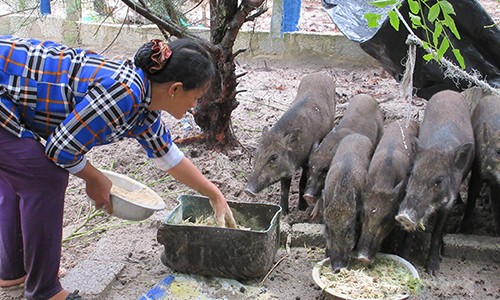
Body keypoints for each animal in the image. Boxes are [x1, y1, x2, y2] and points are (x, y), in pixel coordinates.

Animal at [245, 72, 336, 213]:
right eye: (256, 154)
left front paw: (302, 209)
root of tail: (321, 73)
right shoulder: (287, 170)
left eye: (274, 157)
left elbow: (302, 184)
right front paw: (284, 212)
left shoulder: (307, 162)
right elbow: (284, 190)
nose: (247, 190)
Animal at [394, 90, 472, 276]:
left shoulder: (447, 205)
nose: (404, 216)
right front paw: (404, 258)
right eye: (412, 174)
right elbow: (410, 234)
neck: (439, 148)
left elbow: (437, 233)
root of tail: (450, 91)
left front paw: (433, 271)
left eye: (439, 180)